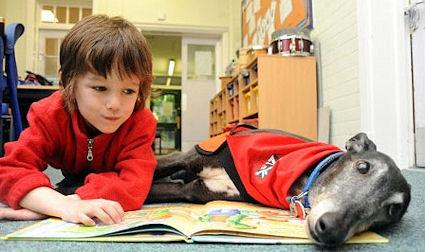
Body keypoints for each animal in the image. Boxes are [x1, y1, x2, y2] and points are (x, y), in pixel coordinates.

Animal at [147, 129, 410, 247]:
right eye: (363, 166)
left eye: (392, 210)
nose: (332, 230)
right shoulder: (186, 158)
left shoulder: (196, 190)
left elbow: (162, 188)